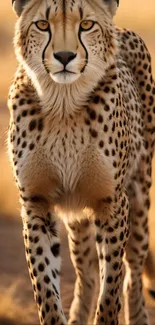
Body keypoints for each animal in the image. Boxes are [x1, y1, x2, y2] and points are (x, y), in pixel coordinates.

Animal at [8, 0, 154, 324]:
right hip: (77, 216)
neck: (63, 103)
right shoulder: (36, 203)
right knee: (86, 272)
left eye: (86, 25)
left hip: (140, 195)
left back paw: (138, 314)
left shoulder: (113, 203)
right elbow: (46, 286)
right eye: (42, 25)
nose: (64, 57)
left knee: (134, 269)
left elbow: (112, 285)